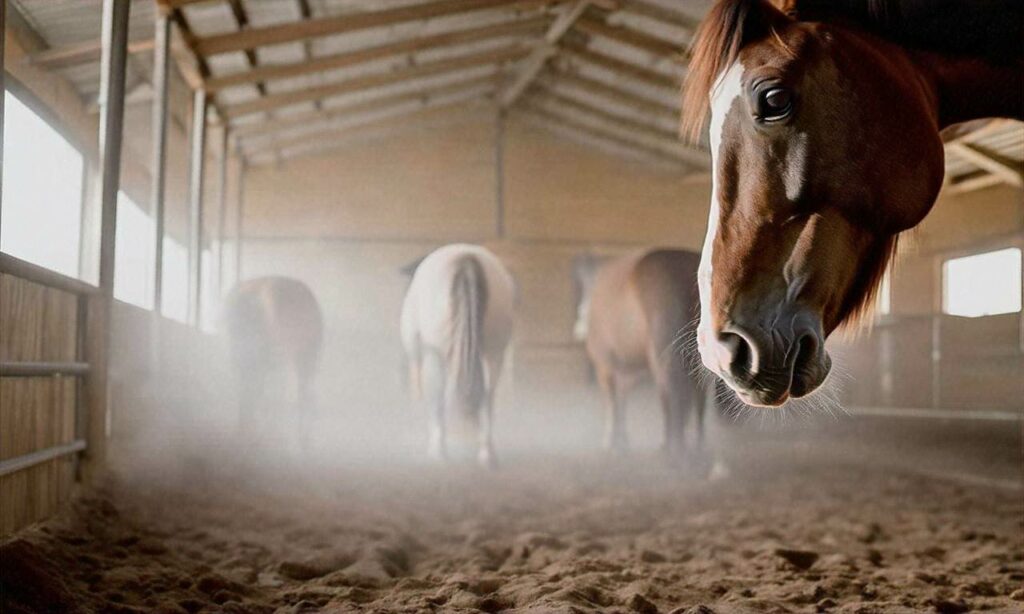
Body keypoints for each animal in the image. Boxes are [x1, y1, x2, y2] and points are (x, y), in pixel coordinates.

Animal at [397, 243, 516, 464]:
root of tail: (466, 258)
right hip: (494, 352)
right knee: (487, 397)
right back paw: (486, 452)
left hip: (436, 355)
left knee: (439, 395)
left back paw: (439, 449)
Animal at [573, 249, 708, 460]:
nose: (578, 329)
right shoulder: (624, 371)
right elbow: (621, 399)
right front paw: (622, 441)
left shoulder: (605, 365)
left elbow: (612, 401)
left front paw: (611, 442)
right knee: (698, 396)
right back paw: (697, 444)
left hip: (662, 357)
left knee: (669, 391)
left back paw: (672, 444)